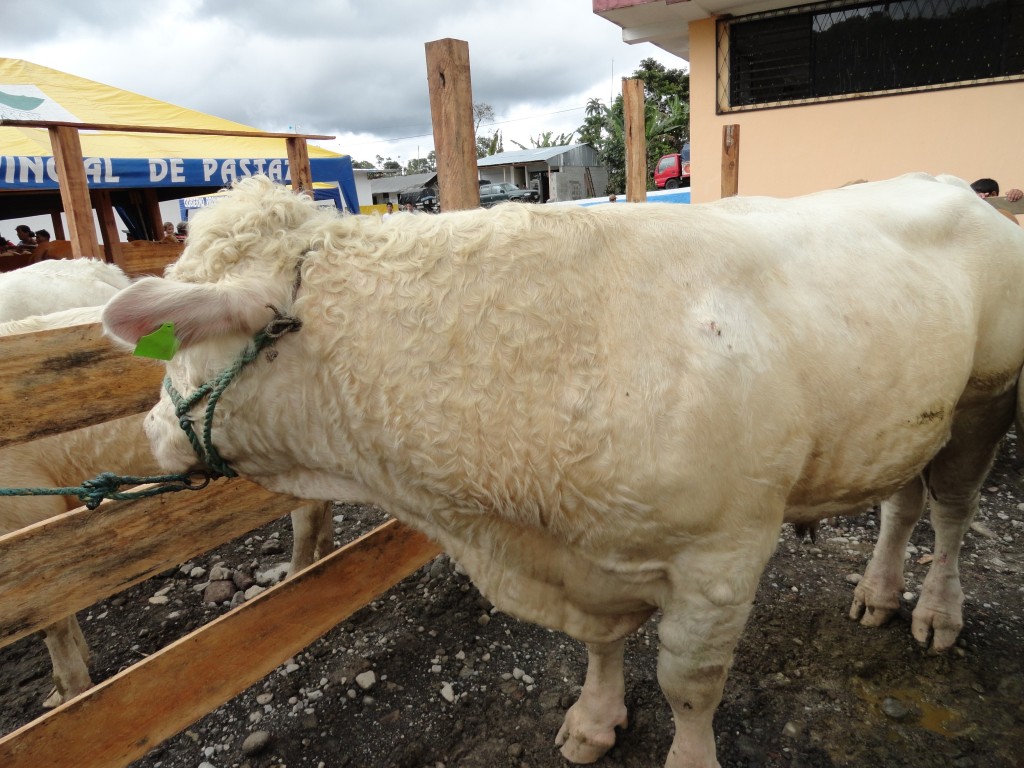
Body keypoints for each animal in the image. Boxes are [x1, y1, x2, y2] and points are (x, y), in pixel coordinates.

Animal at [99, 174, 1024, 768]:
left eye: (169, 340)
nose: (148, 429)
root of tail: (960, 186)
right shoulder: (580, 552)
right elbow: (601, 644)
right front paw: (593, 720)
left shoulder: (723, 552)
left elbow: (690, 684)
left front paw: (686, 753)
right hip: (907, 417)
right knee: (902, 505)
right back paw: (876, 590)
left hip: (985, 399)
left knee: (951, 513)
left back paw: (934, 611)